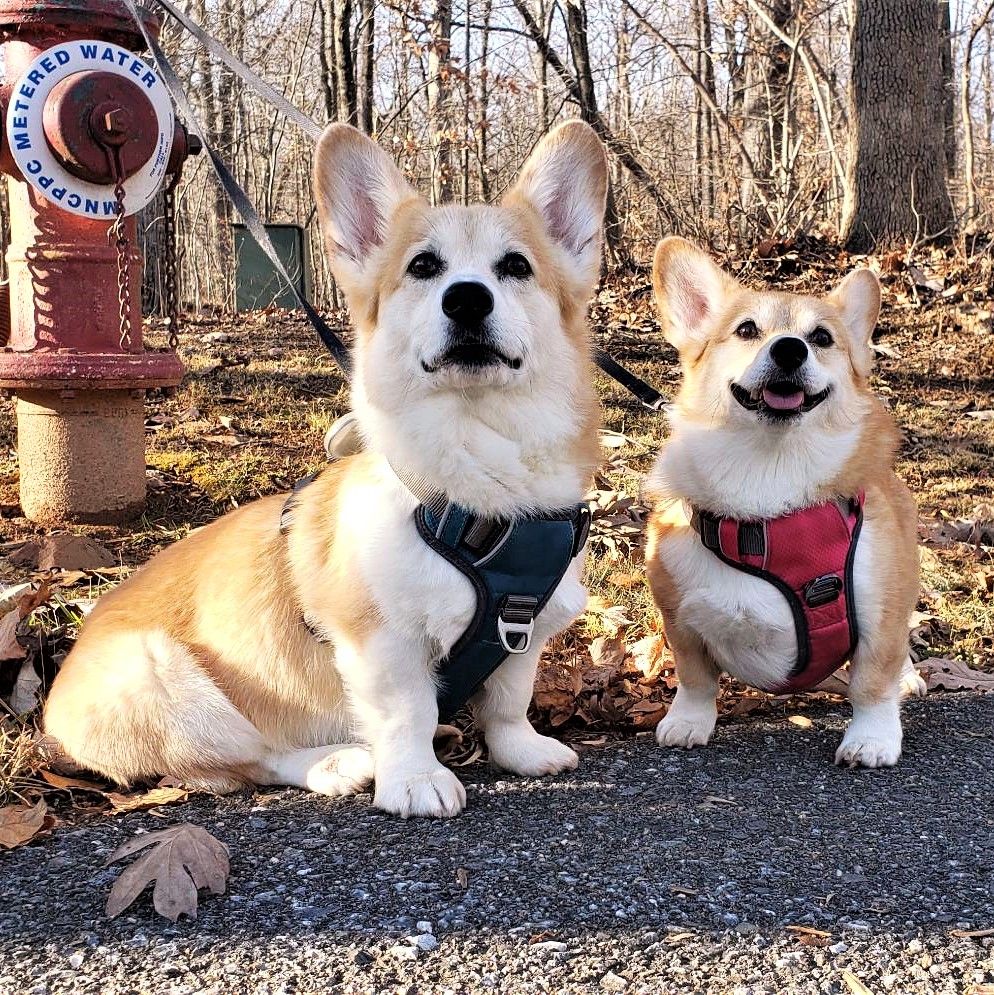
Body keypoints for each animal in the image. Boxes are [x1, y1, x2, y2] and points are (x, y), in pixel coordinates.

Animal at [40, 120, 604, 816]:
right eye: (423, 266)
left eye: (516, 266)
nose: (467, 300)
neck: (478, 467)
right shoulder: (381, 641)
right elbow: (407, 713)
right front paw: (414, 780)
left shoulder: (521, 629)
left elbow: (508, 700)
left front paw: (522, 751)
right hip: (165, 681)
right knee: (250, 758)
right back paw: (340, 763)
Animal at [644, 237, 924, 768]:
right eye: (746, 329)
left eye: (822, 338)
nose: (791, 349)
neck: (768, 474)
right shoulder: (680, 619)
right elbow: (694, 679)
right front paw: (688, 722)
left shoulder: (880, 615)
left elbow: (873, 682)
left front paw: (872, 739)